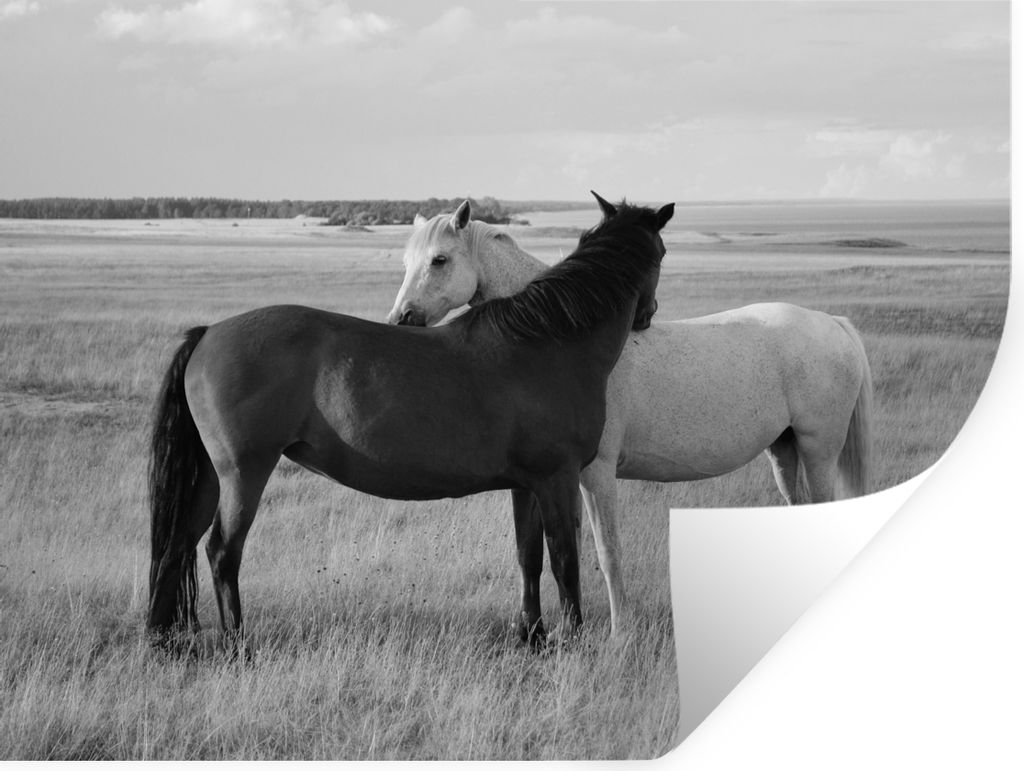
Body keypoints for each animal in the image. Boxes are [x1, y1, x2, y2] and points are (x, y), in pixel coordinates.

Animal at [147, 192, 673, 651]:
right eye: (664, 251)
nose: (648, 315)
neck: (548, 341)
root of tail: (208, 333)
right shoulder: (558, 479)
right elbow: (565, 560)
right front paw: (572, 641)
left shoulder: (526, 485)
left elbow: (529, 557)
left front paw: (534, 638)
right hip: (244, 474)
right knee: (222, 551)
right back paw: (238, 647)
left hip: (209, 478)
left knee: (176, 545)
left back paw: (162, 641)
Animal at [388, 200, 873, 638]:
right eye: (407, 261)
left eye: (440, 259)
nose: (400, 319)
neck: (561, 336)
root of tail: (832, 322)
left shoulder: (594, 475)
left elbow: (606, 553)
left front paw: (621, 631)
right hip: (784, 449)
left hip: (818, 449)